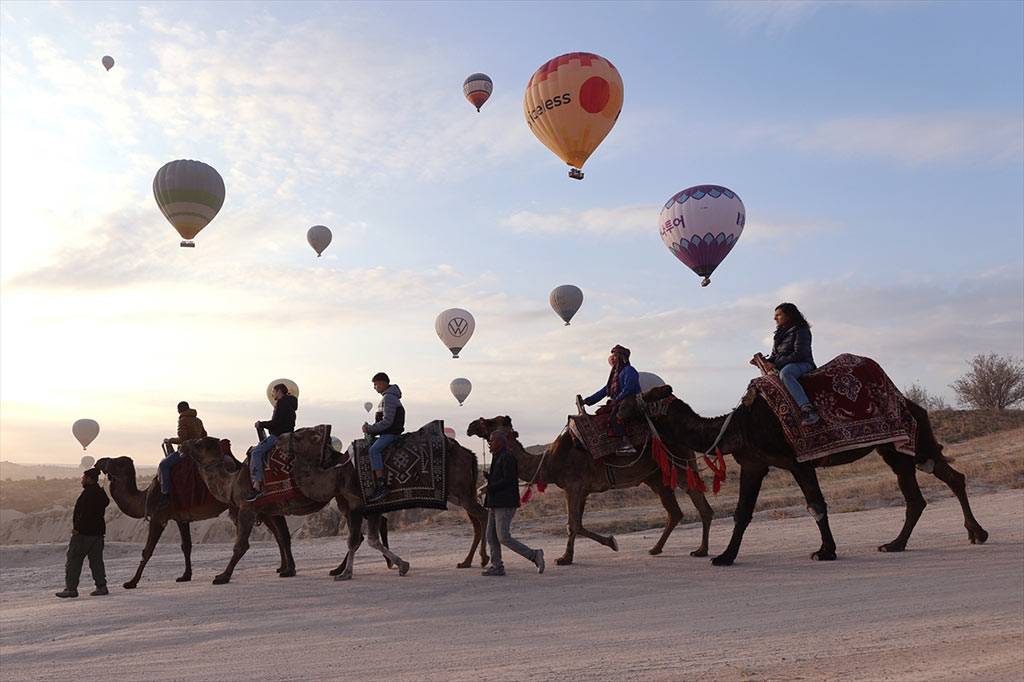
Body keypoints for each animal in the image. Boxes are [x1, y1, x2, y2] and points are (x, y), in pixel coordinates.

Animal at [92, 454, 292, 585]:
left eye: (115, 462)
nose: (98, 462)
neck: (145, 495)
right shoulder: (180, 518)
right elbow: (186, 546)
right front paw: (185, 575)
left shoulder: (158, 516)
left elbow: (147, 550)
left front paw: (131, 582)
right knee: (278, 531)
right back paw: (284, 568)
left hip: (246, 503)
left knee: (274, 531)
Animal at [468, 413, 716, 561]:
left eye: (492, 421)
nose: (470, 426)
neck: (548, 463)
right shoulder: (583, 490)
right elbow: (577, 524)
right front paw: (600, 545)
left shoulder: (573, 486)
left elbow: (573, 524)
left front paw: (567, 557)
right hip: (656, 477)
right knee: (675, 512)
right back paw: (656, 548)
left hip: (679, 465)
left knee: (700, 504)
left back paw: (701, 550)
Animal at [618, 385, 987, 565]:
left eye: (638, 400)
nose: (617, 409)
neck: (737, 426)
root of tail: (914, 404)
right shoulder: (754, 464)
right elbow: (742, 513)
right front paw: (725, 556)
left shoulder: (798, 462)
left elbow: (815, 504)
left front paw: (826, 551)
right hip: (895, 450)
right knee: (922, 492)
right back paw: (897, 544)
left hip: (911, 442)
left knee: (945, 479)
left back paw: (974, 533)